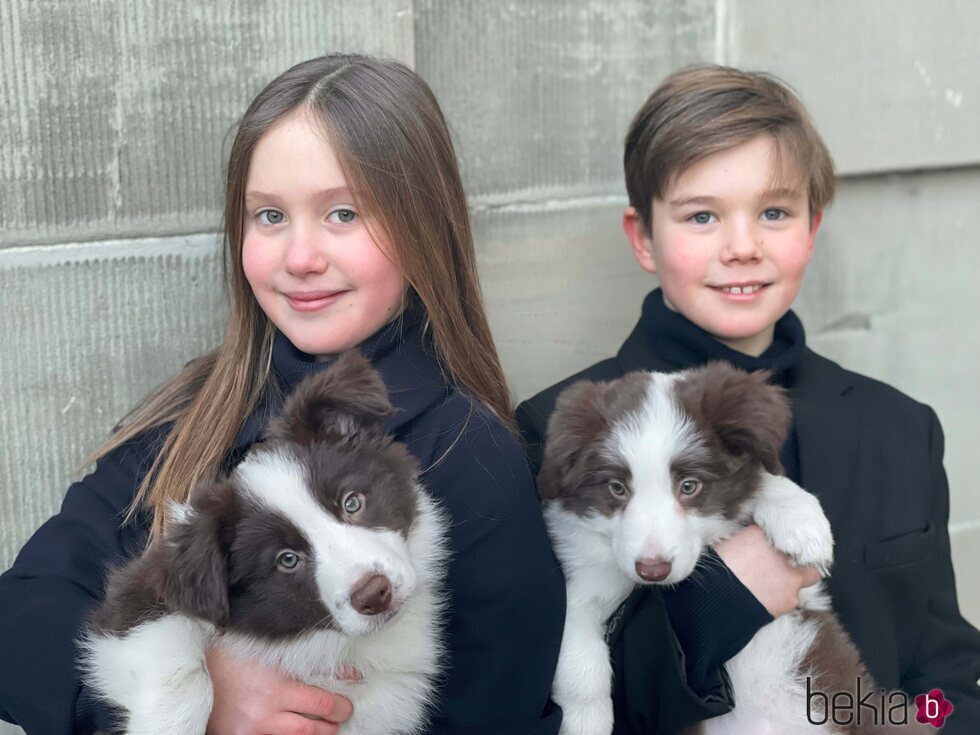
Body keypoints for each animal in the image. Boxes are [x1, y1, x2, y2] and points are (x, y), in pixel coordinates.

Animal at [80, 350, 448, 735]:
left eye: (352, 503)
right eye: (287, 560)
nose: (375, 594)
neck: (325, 643)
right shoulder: (135, 597)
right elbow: (181, 667)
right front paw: (168, 723)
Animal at [536, 364, 912, 735]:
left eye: (689, 486)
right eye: (616, 488)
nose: (652, 569)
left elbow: (762, 480)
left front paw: (800, 520)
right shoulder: (584, 582)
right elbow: (580, 661)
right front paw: (587, 723)